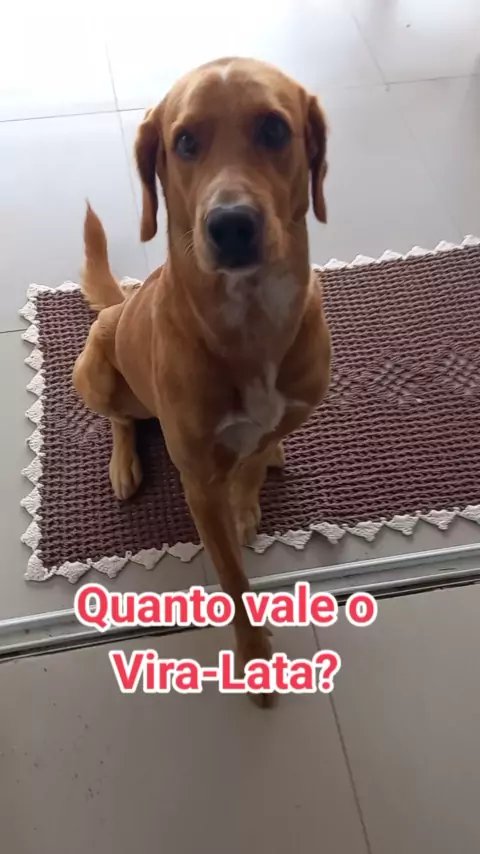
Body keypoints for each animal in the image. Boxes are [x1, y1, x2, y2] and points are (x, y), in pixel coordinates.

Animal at [73, 57, 331, 706]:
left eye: (274, 129)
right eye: (185, 141)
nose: (231, 224)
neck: (251, 321)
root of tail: (121, 303)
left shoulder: (285, 412)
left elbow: (254, 457)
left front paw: (250, 491)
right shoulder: (196, 484)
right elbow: (234, 579)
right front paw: (255, 656)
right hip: (95, 369)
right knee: (121, 418)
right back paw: (124, 462)